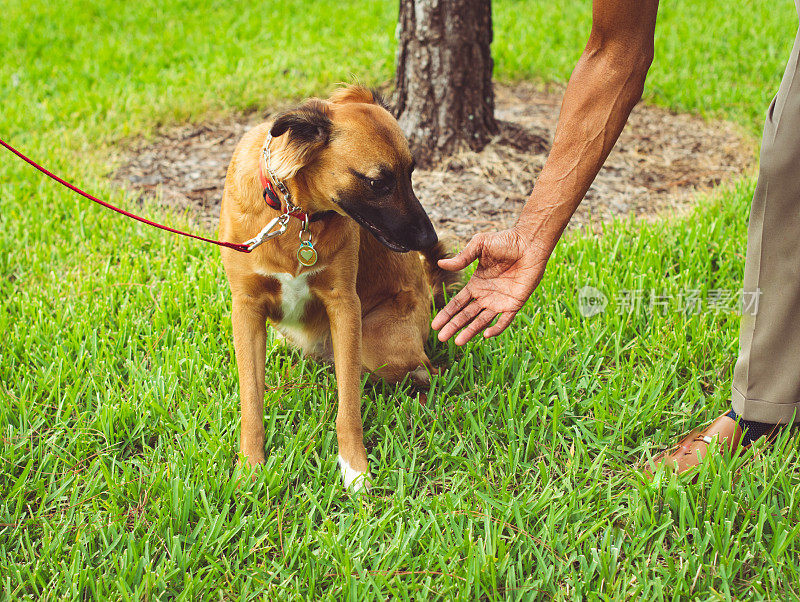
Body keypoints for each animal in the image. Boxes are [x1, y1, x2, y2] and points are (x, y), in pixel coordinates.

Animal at [220, 85, 456, 488]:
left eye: (411, 173)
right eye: (378, 182)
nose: (429, 239)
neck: (293, 213)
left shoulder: (344, 306)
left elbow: (348, 402)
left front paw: (354, 468)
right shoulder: (246, 308)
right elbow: (251, 398)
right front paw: (250, 467)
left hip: (376, 344)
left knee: (423, 370)